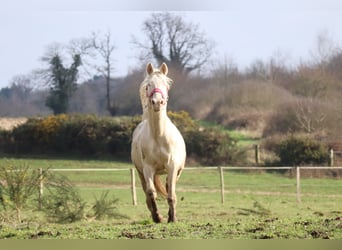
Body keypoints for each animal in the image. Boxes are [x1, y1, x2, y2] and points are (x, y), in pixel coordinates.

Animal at [131, 62, 186, 223]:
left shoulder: (173, 167)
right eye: (148, 85)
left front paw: (172, 218)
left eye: (166, 85)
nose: (157, 102)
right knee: (147, 192)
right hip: (140, 173)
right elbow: (151, 193)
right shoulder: (148, 168)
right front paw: (157, 216)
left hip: (176, 171)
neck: (159, 136)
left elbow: (171, 194)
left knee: (169, 186)